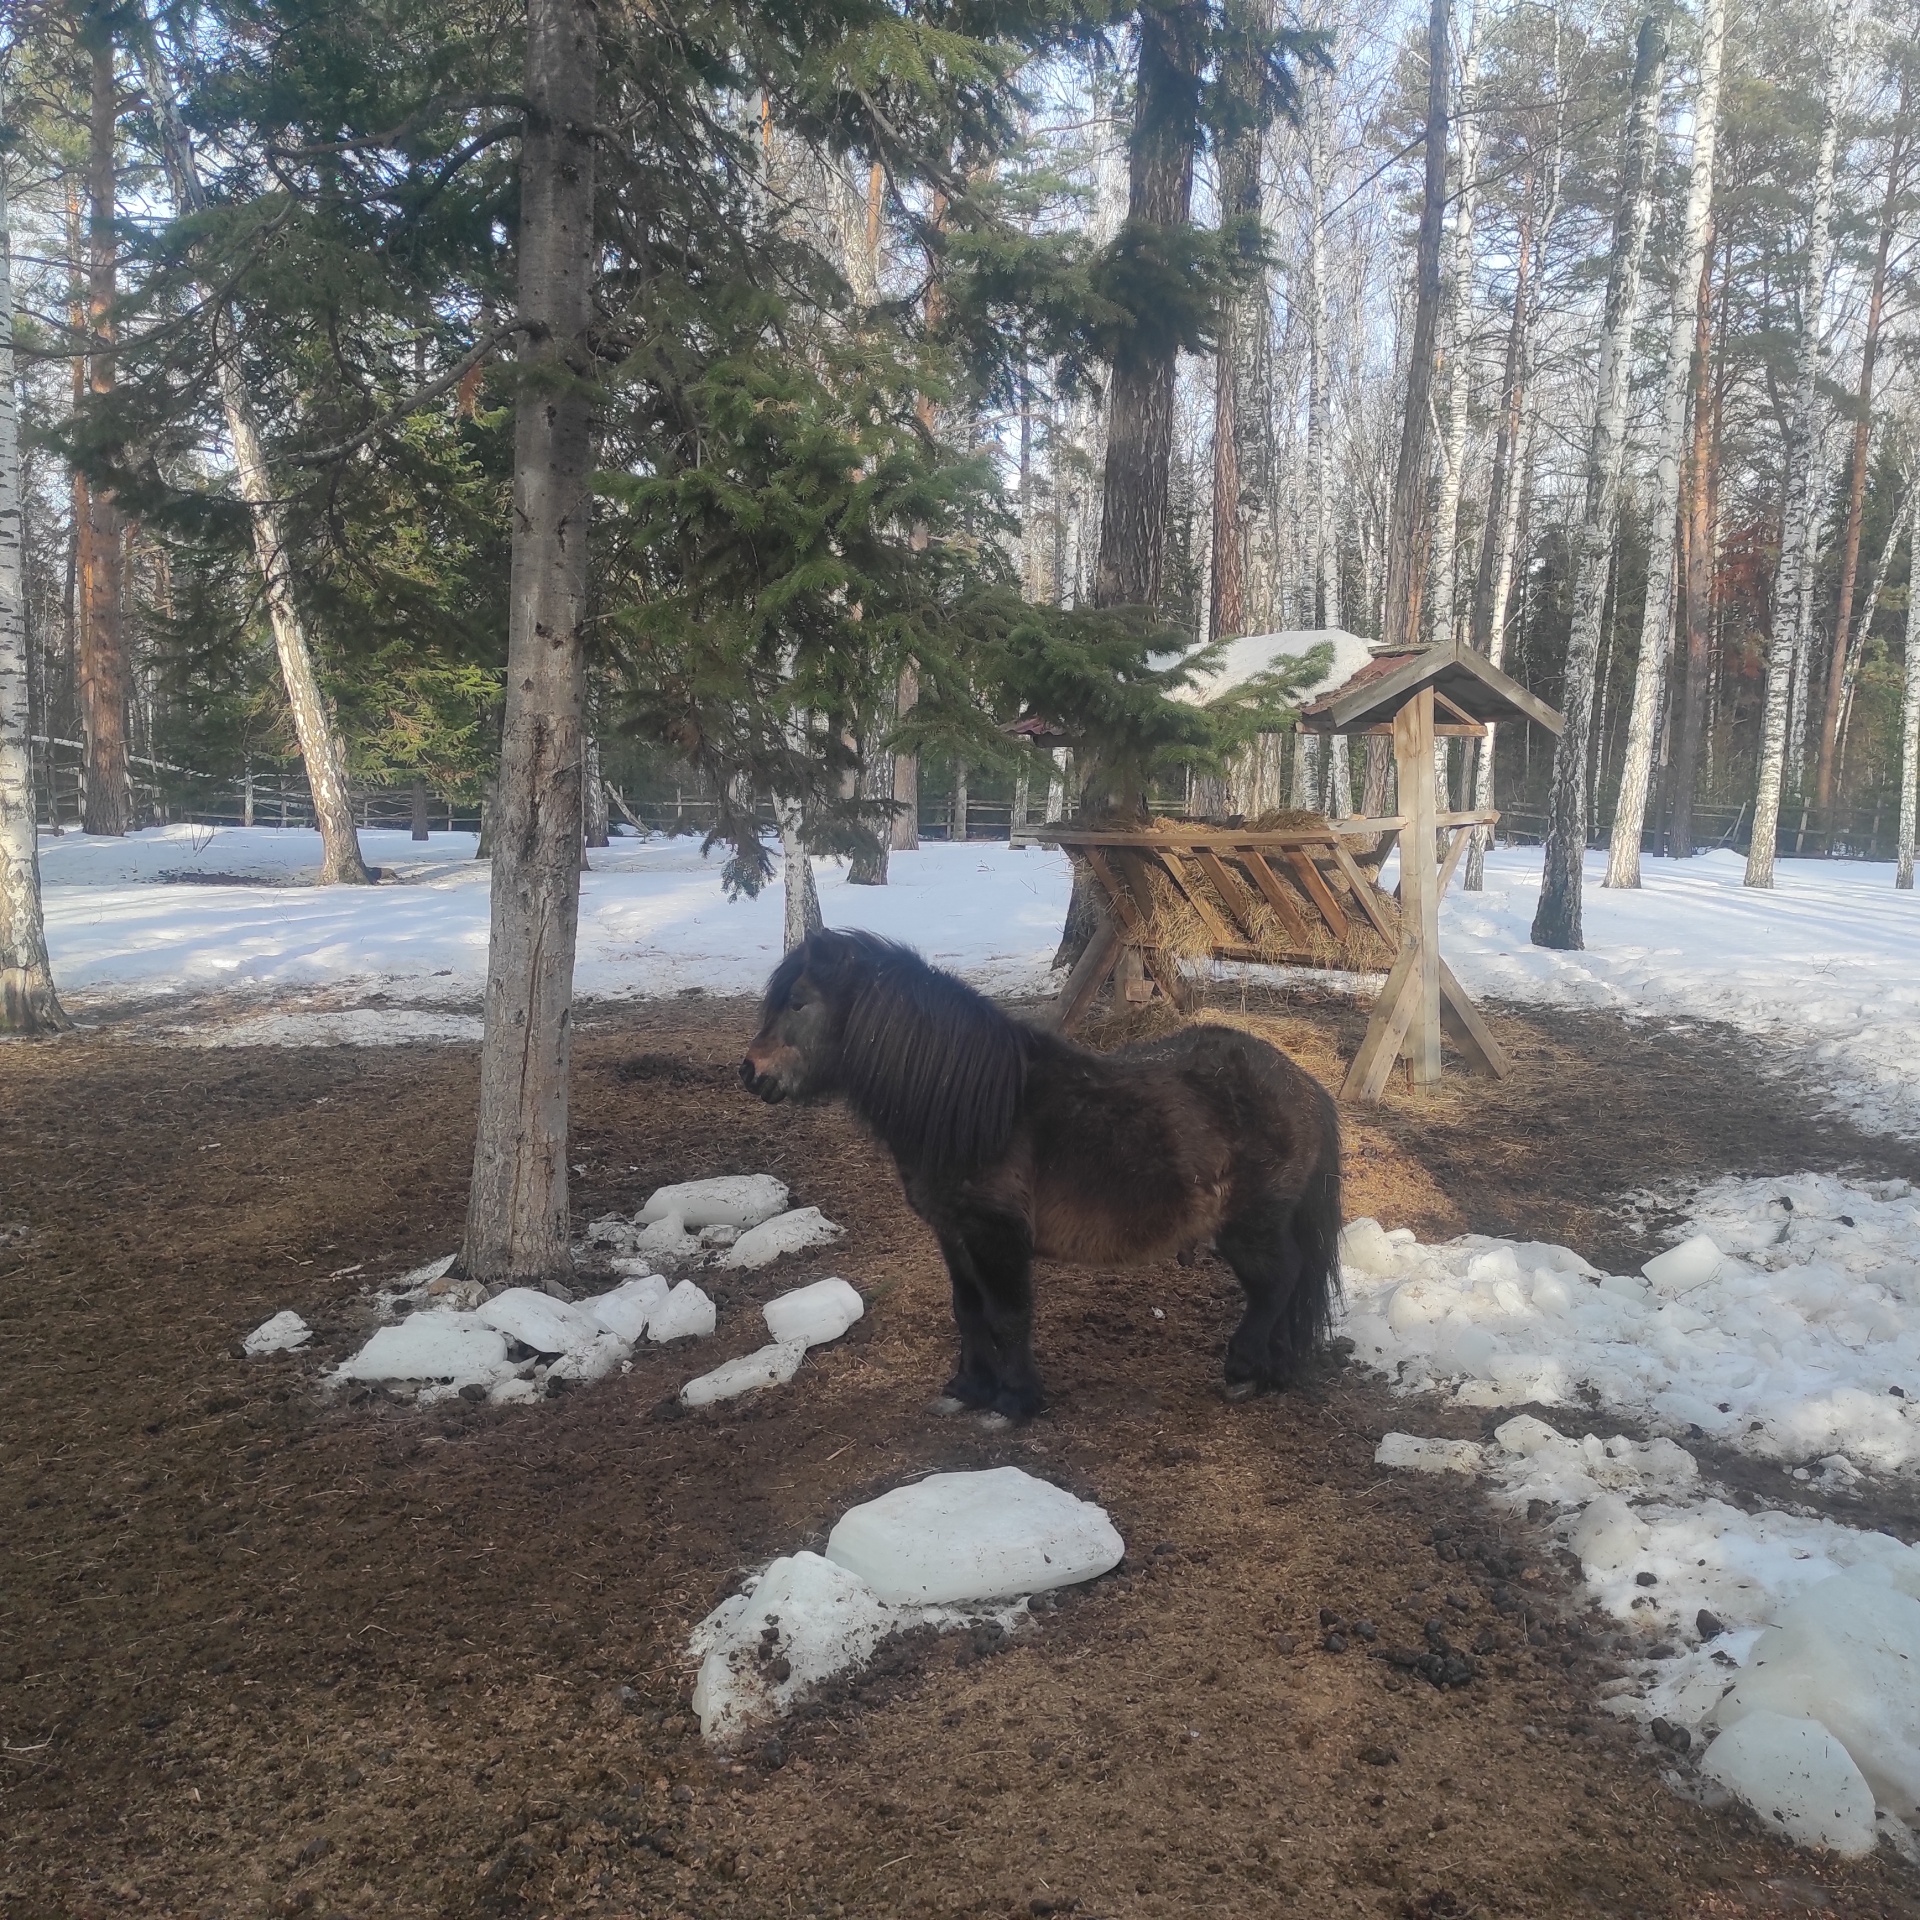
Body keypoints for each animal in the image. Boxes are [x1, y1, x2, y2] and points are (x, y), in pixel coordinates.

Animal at [741, 925, 1344, 1413]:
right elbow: (968, 1310)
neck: (975, 1108)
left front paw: (1014, 1399)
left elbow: (1009, 1314)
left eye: (798, 1003)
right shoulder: (953, 1233)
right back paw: (1274, 1370)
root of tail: (1305, 1087)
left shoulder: (998, 1236)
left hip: (1252, 1226)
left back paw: (1244, 1369)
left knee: (1278, 1283)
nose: (750, 1072)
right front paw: (968, 1388)